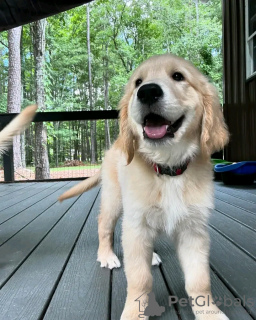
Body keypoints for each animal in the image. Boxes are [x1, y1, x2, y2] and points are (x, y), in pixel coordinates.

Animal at [59, 55, 229, 320]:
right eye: (138, 82)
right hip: (115, 199)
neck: (167, 168)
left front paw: (209, 312)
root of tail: (116, 143)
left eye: (178, 76)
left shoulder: (193, 230)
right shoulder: (136, 224)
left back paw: (152, 255)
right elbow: (140, 279)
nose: (147, 92)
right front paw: (133, 312)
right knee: (104, 225)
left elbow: (199, 280)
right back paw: (107, 256)